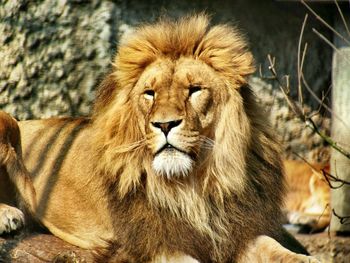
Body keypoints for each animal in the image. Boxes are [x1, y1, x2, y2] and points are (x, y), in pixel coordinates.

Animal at [0, 14, 322, 263]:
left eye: (194, 90)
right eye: (150, 93)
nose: (164, 124)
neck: (196, 184)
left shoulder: (234, 230)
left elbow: (273, 247)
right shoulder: (153, 243)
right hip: (7, 120)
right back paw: (8, 216)